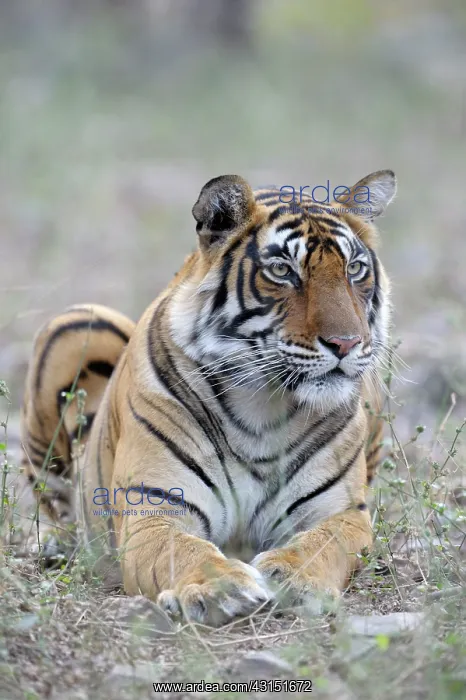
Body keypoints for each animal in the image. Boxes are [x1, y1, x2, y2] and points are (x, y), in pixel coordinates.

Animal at [21, 169, 396, 626]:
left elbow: (322, 545)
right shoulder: (155, 510)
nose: (346, 343)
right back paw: (54, 545)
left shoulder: (342, 512)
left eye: (355, 269)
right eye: (282, 270)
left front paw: (295, 578)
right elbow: (183, 550)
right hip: (78, 322)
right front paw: (221, 589)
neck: (264, 403)